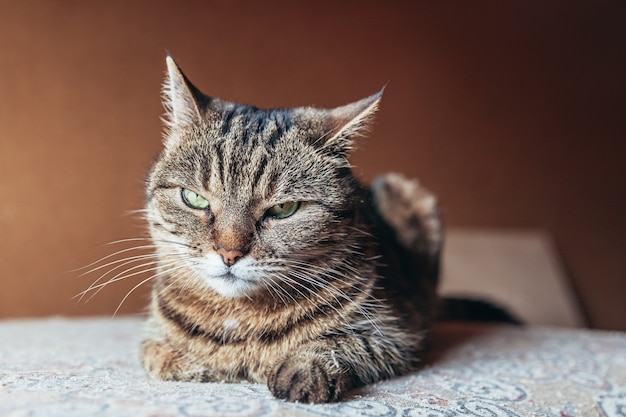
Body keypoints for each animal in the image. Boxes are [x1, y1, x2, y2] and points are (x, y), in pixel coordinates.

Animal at [139, 56, 442, 404]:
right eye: (194, 198)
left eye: (284, 209)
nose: (229, 253)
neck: (238, 316)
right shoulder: (151, 338)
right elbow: (161, 355)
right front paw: (198, 363)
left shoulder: (395, 334)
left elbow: (340, 342)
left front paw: (303, 368)